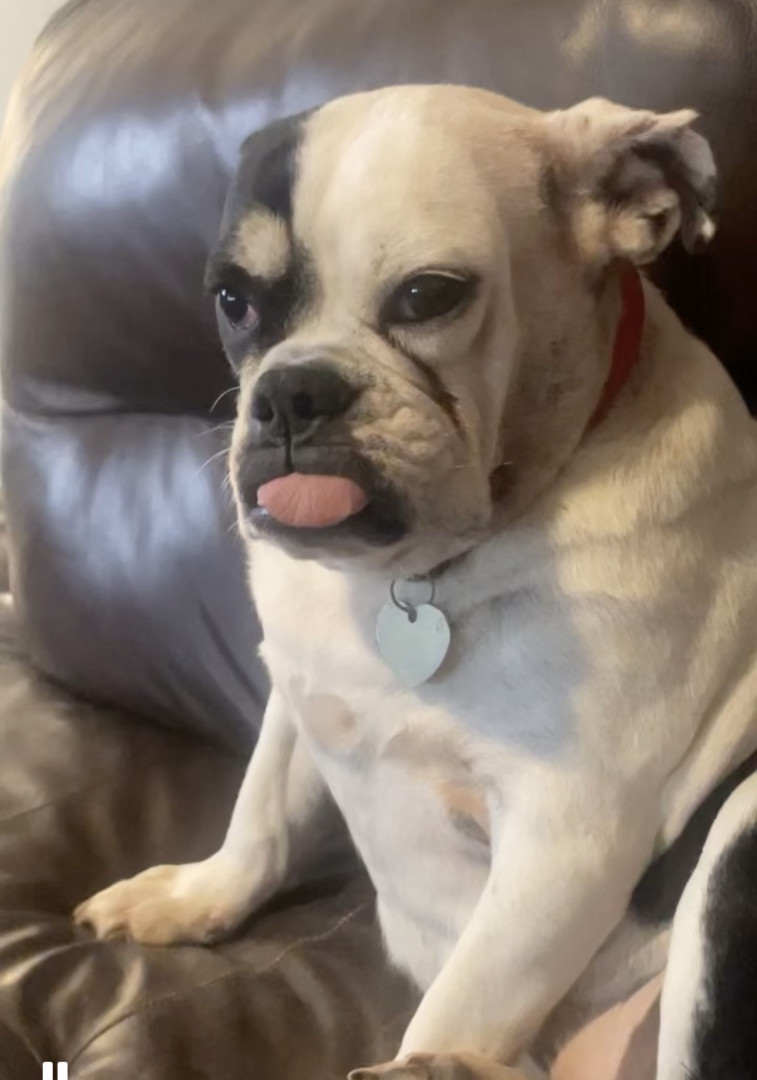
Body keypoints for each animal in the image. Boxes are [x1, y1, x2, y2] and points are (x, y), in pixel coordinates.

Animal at [75, 86, 757, 1080]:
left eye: (429, 295)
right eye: (233, 300)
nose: (292, 391)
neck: (416, 576)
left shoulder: (564, 838)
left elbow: (464, 994)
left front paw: (432, 1043)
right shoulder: (298, 692)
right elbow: (260, 818)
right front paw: (197, 895)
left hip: (740, 823)